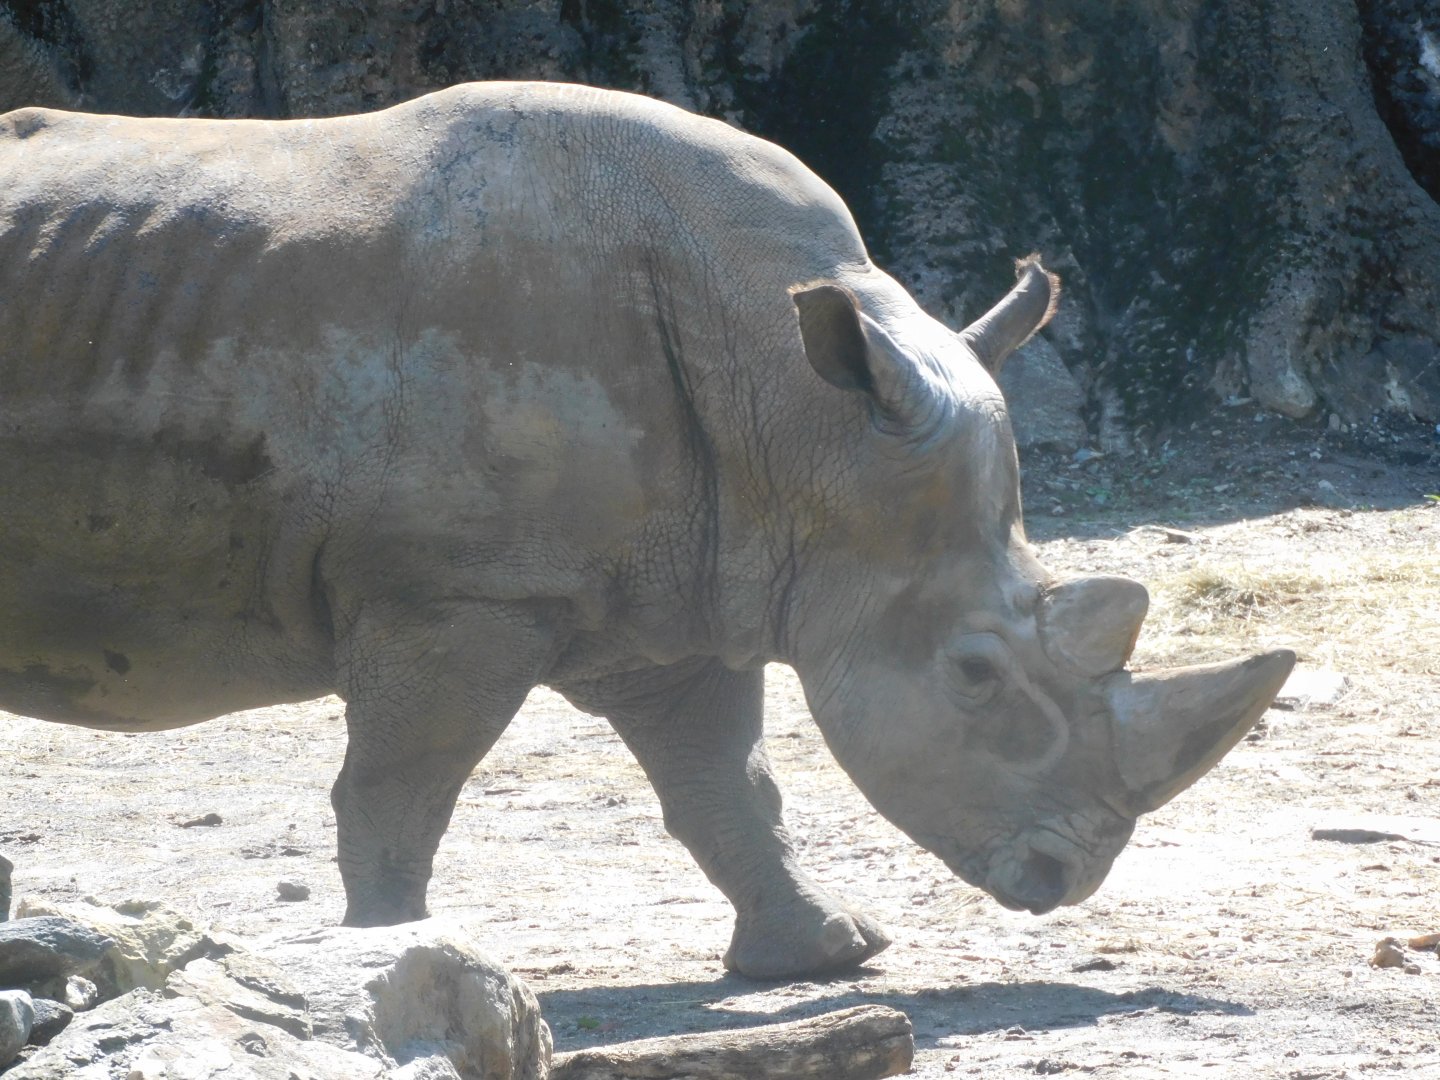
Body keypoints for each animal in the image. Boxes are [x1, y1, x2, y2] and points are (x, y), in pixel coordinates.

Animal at [0, 82, 1294, 979]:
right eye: (976, 675)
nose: (1069, 878)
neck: (805, 419)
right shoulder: (458, 589)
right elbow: (403, 787)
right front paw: (399, 957)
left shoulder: (696, 581)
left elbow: (729, 781)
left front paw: (829, 954)